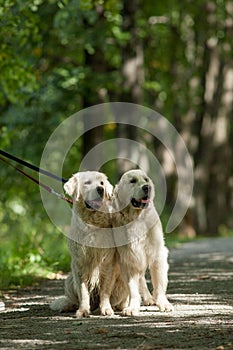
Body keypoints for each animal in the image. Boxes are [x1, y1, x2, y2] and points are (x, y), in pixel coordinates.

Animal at [51, 171, 116, 318]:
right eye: (87, 183)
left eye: (102, 183)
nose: (100, 189)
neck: (91, 223)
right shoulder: (80, 264)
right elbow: (83, 291)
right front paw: (83, 310)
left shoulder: (107, 261)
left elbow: (105, 290)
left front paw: (106, 309)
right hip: (69, 280)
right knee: (73, 299)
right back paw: (67, 306)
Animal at [112, 170, 174, 318]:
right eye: (132, 181)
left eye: (146, 179)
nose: (147, 187)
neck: (137, 218)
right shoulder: (129, 258)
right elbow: (133, 288)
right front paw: (132, 307)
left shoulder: (157, 255)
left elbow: (159, 284)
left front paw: (163, 303)